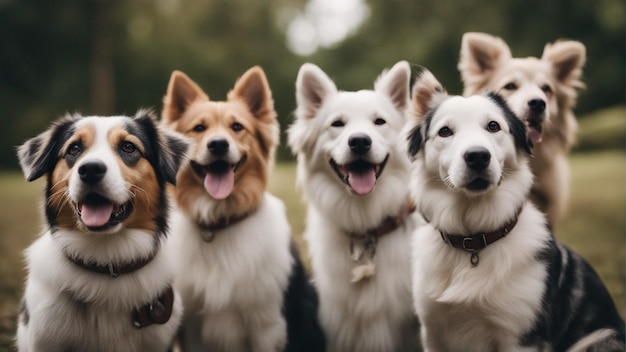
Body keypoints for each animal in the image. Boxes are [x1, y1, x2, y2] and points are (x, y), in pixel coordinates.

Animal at [161, 66, 324, 352]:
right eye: (199, 128)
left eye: (237, 127)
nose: (218, 144)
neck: (218, 223)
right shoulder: (193, 327)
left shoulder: (268, 325)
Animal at [402, 69, 620, 352]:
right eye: (445, 131)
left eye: (493, 126)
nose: (477, 156)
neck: (473, 240)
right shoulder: (434, 332)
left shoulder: (522, 338)